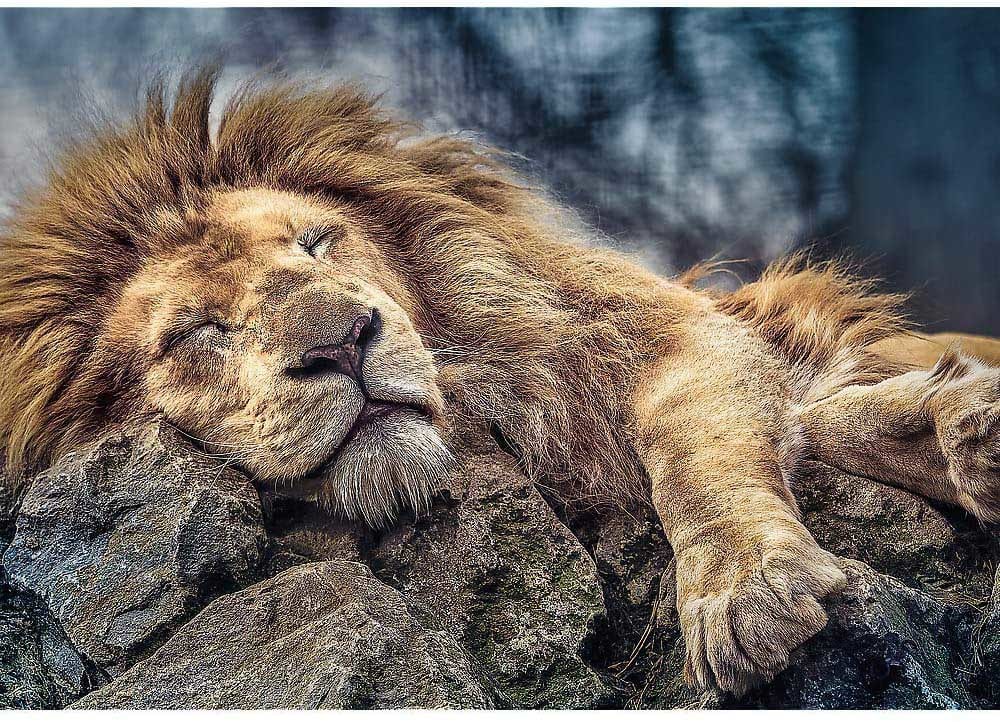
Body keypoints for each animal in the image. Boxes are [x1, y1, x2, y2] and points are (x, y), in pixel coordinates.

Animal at [1, 68, 999, 698]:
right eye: (197, 332)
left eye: (316, 243)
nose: (345, 342)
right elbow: (819, 416)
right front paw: (950, 427)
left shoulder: (670, 335)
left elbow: (697, 451)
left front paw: (744, 587)